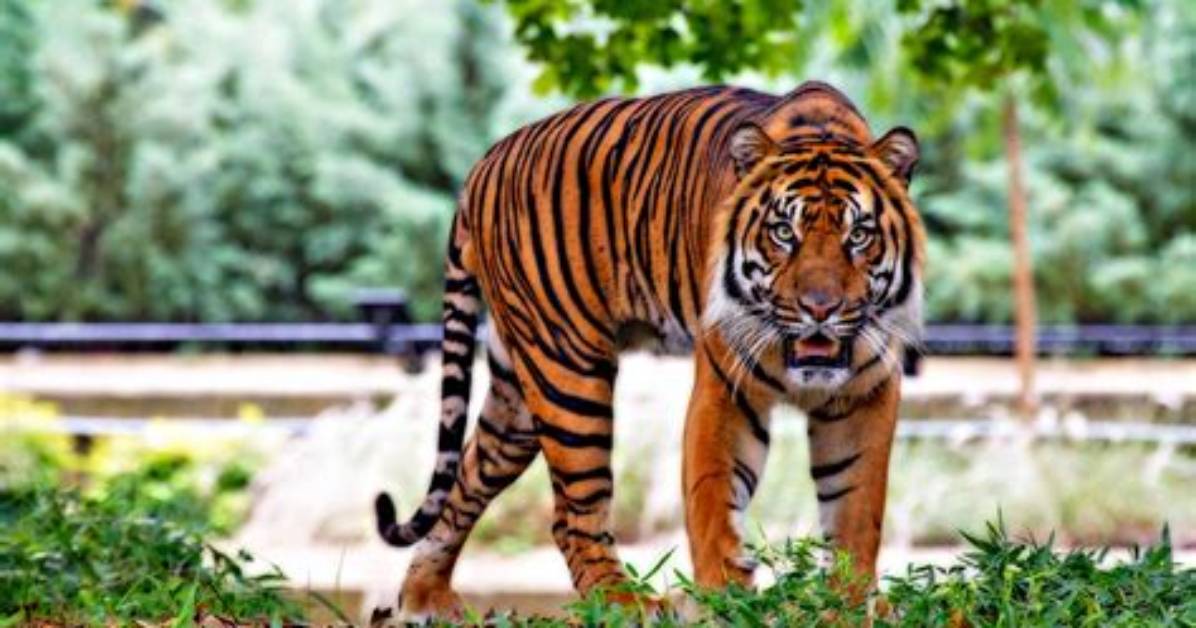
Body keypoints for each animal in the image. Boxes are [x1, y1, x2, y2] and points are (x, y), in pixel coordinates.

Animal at [374, 80, 925, 617]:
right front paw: (726, 600)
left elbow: (856, 511)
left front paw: (847, 603)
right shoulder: (726, 390)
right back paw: (625, 602)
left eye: (859, 235)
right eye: (783, 233)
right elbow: (714, 501)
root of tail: (484, 162)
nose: (820, 308)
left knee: (466, 479)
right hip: (568, 372)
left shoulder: (865, 396)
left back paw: (424, 598)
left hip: (517, 398)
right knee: (572, 513)